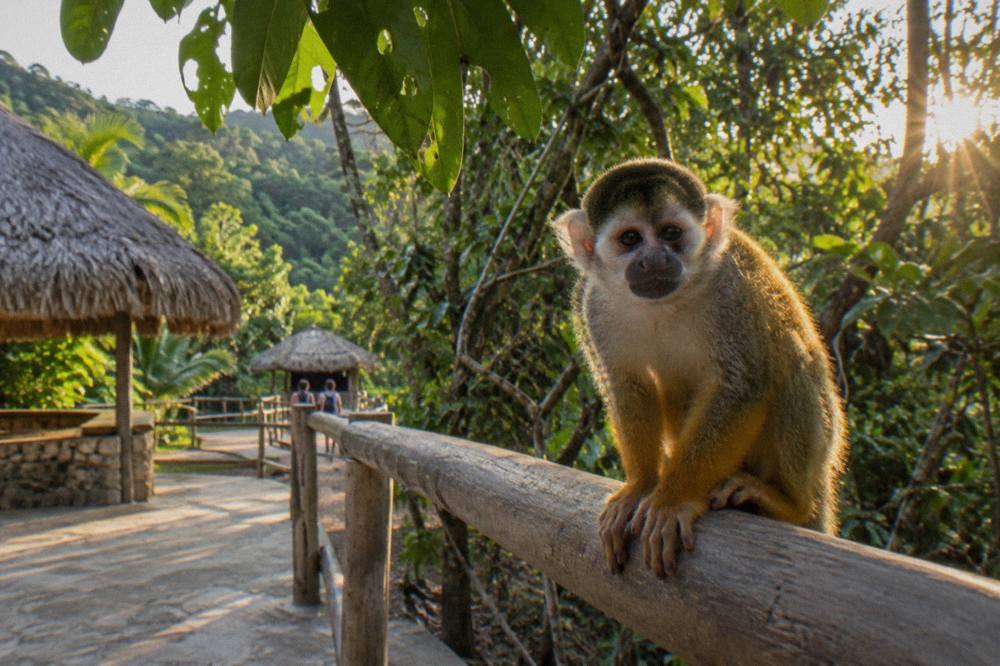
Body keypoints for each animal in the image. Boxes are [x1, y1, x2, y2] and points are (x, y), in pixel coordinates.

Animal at [552, 159, 846, 577]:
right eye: (630, 239)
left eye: (671, 233)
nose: (655, 259)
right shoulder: (594, 305)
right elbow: (628, 386)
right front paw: (642, 485)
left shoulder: (732, 289)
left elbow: (741, 387)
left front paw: (671, 500)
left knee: (791, 364)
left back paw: (788, 505)